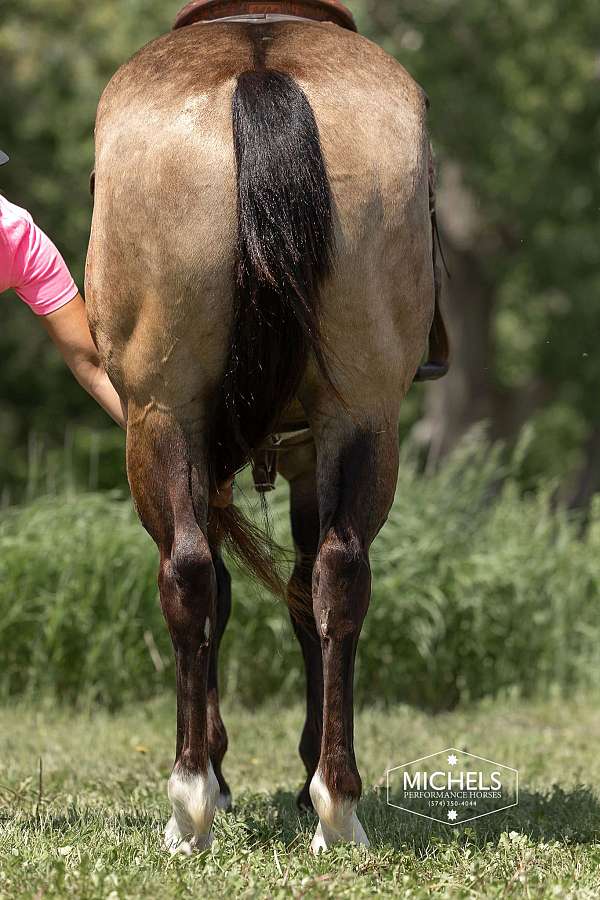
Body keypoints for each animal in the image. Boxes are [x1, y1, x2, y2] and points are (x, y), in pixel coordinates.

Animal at [85, 0, 446, 852]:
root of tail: (260, 67)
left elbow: (231, 588)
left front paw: (221, 768)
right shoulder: (312, 446)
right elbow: (295, 589)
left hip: (162, 418)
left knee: (195, 574)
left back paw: (197, 799)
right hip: (359, 417)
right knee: (337, 574)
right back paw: (334, 803)